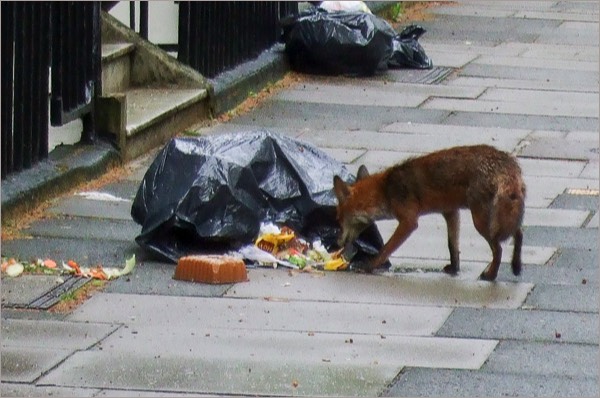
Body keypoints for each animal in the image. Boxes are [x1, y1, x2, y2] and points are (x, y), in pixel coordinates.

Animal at [332, 145, 524, 282]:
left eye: (338, 219)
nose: (337, 242)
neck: (385, 191)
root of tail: (508, 162)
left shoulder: (408, 221)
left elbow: (386, 249)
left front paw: (369, 266)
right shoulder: (450, 212)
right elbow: (452, 246)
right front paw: (454, 269)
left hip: (482, 222)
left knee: (499, 248)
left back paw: (491, 275)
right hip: (501, 217)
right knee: (519, 233)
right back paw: (516, 266)